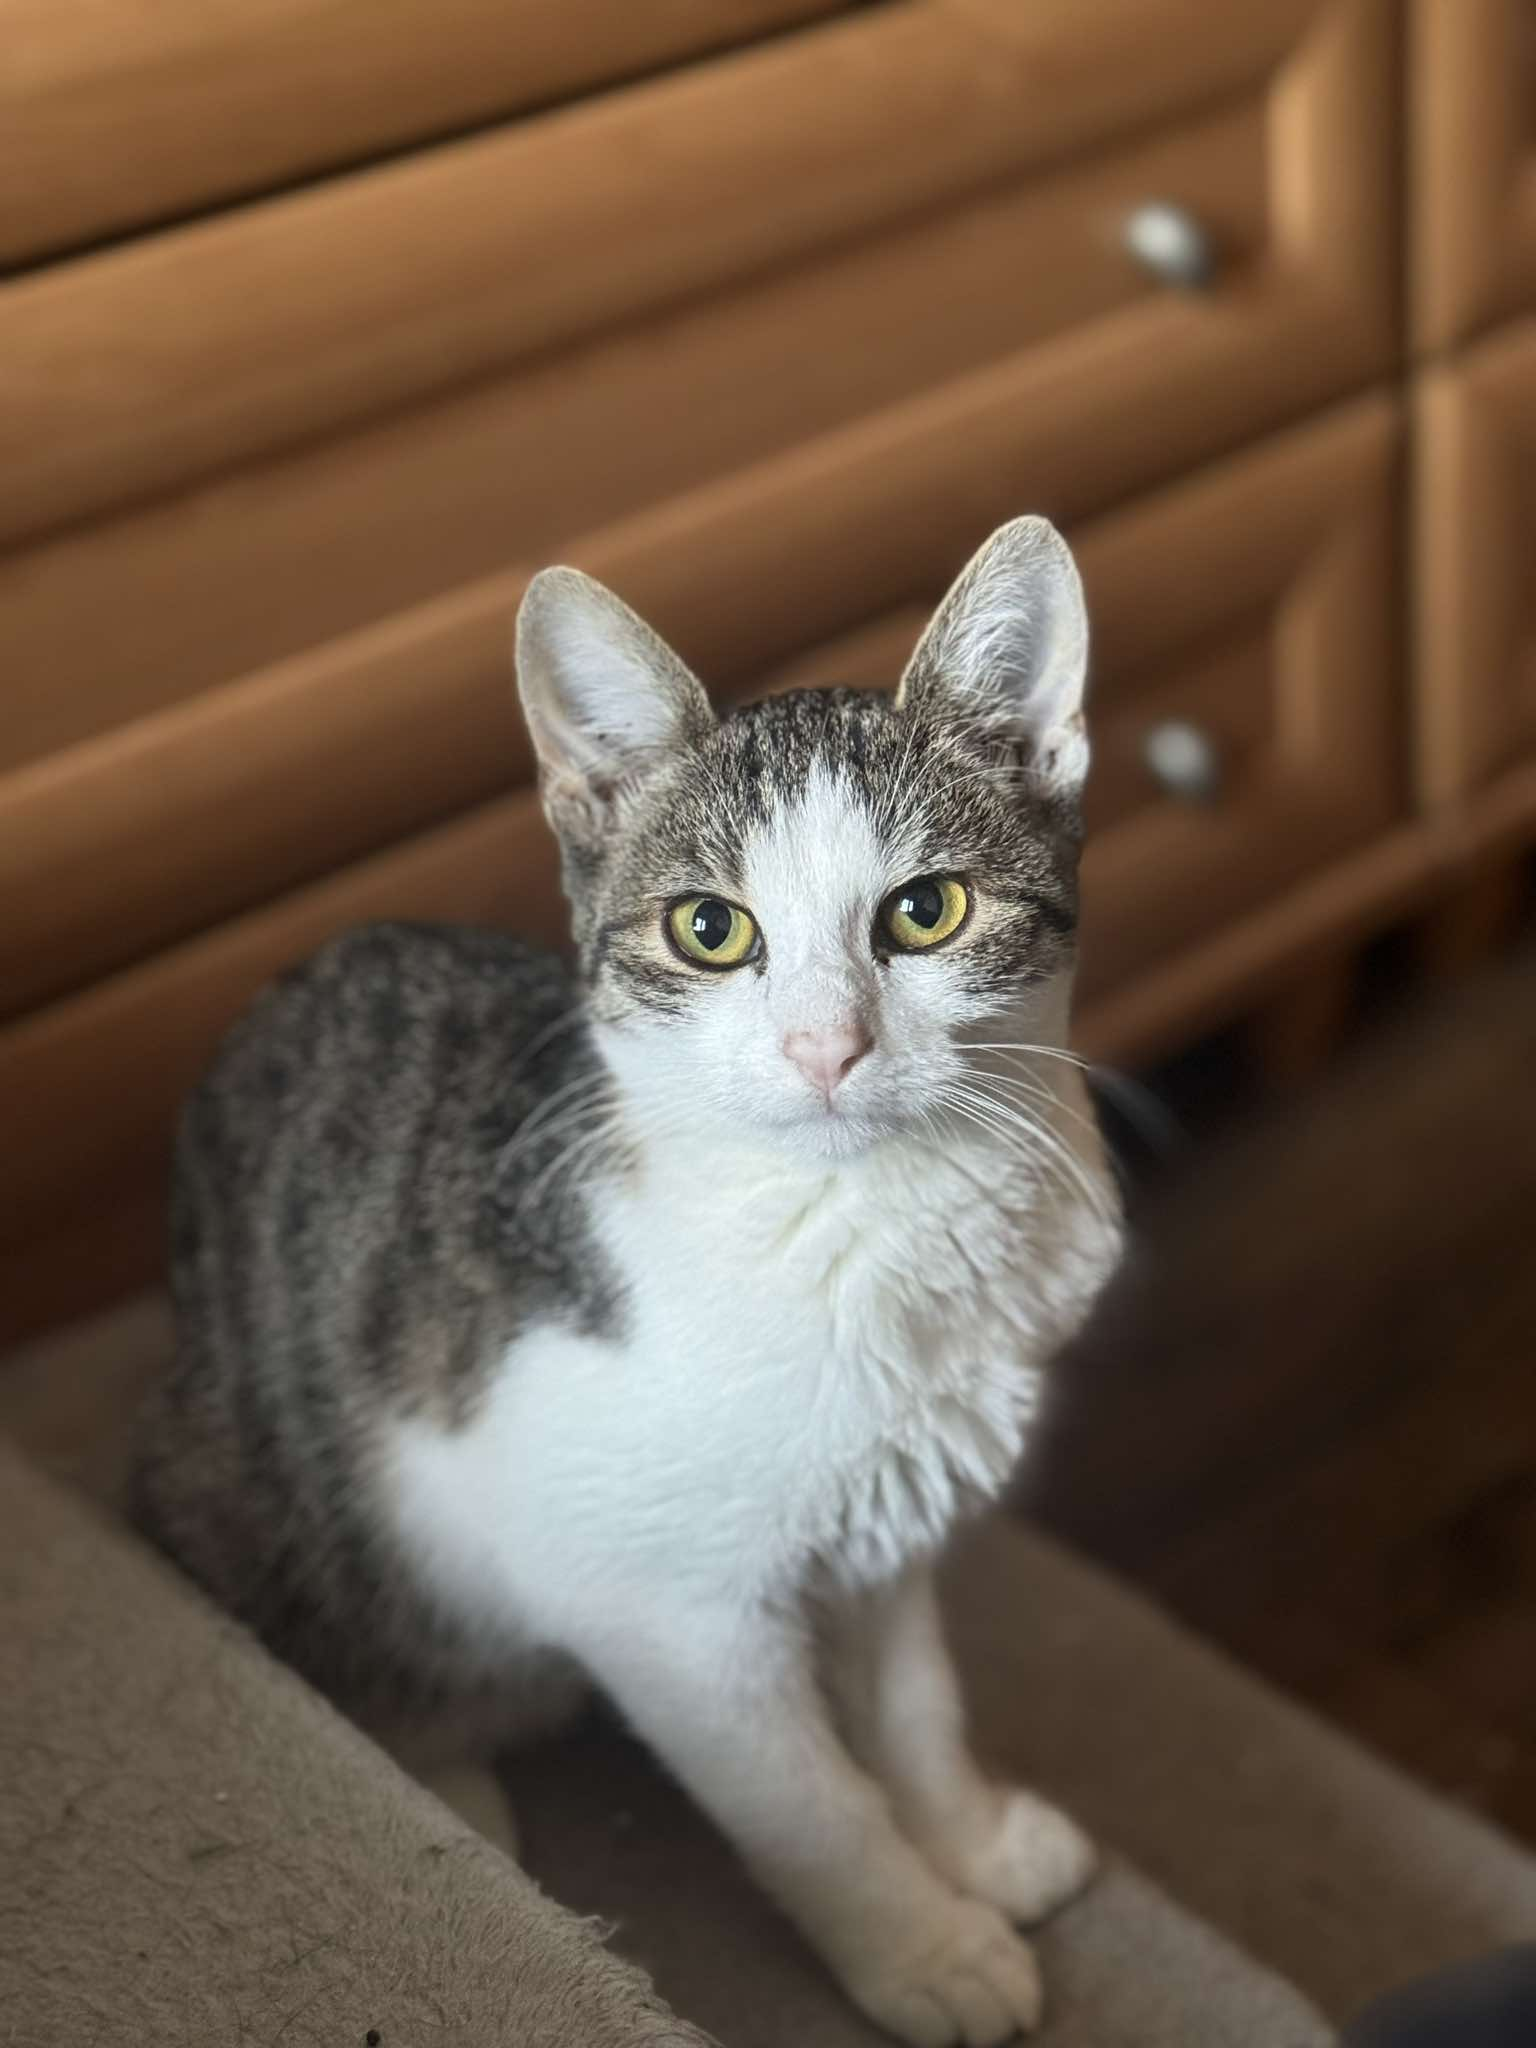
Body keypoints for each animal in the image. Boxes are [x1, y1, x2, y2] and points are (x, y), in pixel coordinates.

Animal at [132, 515, 1124, 2047]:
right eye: (711, 930)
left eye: (927, 910)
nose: (826, 1046)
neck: (873, 1230)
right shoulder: (669, 1612)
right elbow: (812, 1799)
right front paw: (921, 1943)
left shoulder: (891, 1510)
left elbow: (912, 1702)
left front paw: (963, 1838)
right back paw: (453, 1796)